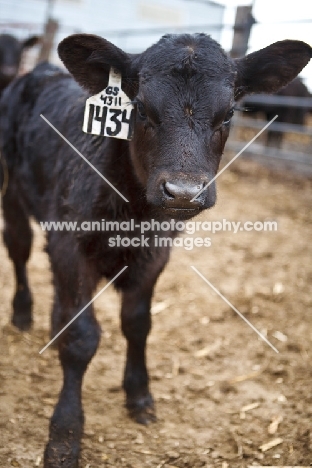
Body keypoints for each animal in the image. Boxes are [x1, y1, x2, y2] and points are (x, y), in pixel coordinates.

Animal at [0, 32, 310, 464]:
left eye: (229, 114)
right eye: (141, 108)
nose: (183, 191)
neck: (133, 213)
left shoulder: (155, 254)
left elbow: (137, 323)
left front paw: (139, 396)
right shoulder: (68, 244)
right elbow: (81, 338)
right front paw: (64, 435)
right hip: (11, 190)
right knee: (19, 248)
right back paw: (23, 311)